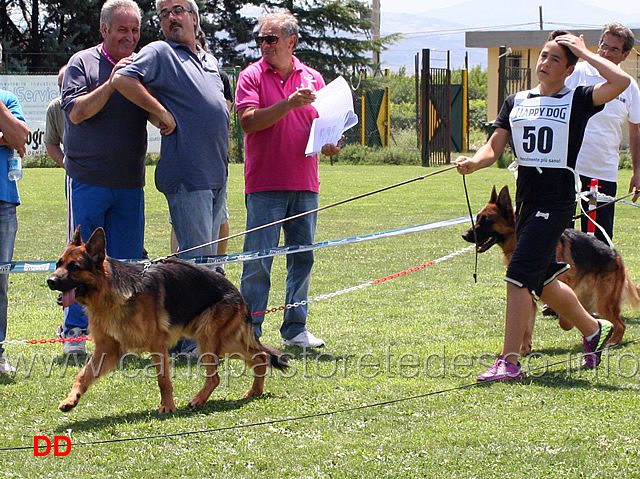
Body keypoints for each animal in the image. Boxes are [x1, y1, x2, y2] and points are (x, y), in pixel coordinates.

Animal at [48, 227, 288, 414]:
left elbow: (163, 379)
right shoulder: (107, 349)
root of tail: (238, 295)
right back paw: (255, 391)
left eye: (74, 267)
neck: (109, 294)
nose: (50, 281)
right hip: (223, 342)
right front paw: (71, 399)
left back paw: (200, 399)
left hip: (211, 341)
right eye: (58, 264)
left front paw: (168, 407)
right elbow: (82, 375)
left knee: (219, 376)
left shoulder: (157, 344)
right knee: (260, 357)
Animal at [462, 186, 636, 354]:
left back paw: (611, 340)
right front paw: (524, 350)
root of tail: (616, 255)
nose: (464, 235)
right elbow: (527, 327)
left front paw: (568, 323)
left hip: (603, 303)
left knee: (620, 324)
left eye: (486, 221)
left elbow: (564, 316)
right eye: (477, 218)